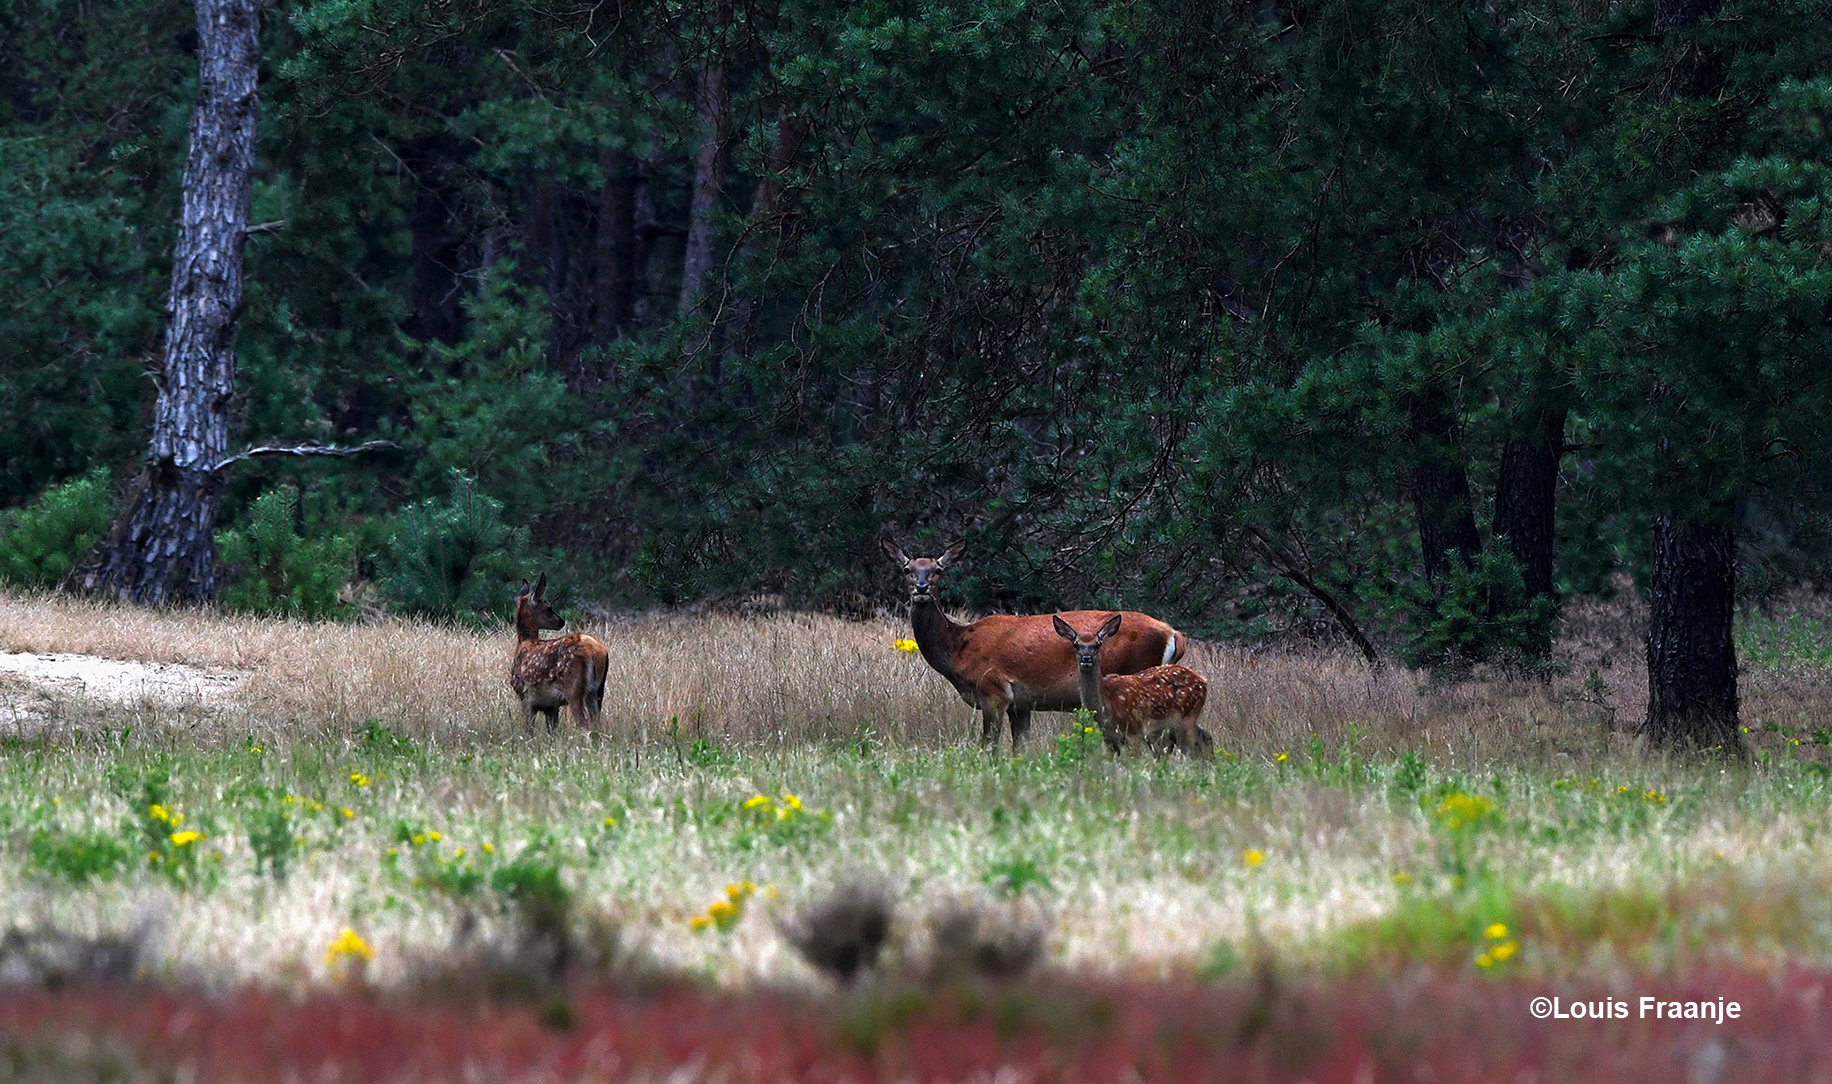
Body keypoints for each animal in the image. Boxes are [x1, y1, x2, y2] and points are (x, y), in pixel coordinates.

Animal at [509, 571, 608, 732]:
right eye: (549, 608)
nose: (561, 621)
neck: (524, 642)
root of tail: (597, 653)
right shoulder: (551, 705)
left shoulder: (524, 695)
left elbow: (529, 731)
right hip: (597, 691)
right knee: (597, 724)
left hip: (574, 689)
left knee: (585, 725)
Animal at [883, 538, 1187, 750]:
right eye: (908, 569)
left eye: (937, 570)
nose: (921, 588)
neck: (957, 647)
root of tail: (1174, 634)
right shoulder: (1021, 703)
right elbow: (1021, 748)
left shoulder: (994, 690)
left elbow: (989, 746)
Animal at [1055, 615, 1209, 758]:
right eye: (1076, 644)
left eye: (1097, 645)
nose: (1086, 658)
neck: (1107, 703)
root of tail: (1203, 681)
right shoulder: (1109, 738)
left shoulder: (1133, 730)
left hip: (1187, 717)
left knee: (1193, 746)